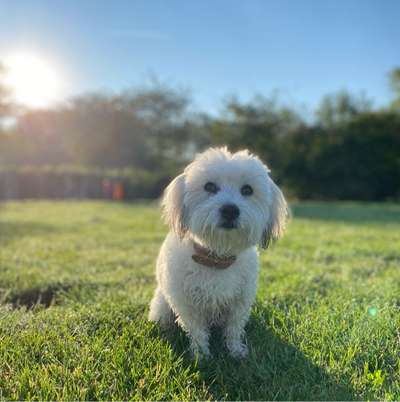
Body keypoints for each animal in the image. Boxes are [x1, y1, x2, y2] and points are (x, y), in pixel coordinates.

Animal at [148, 147, 290, 358]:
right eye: (209, 187)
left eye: (247, 190)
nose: (230, 210)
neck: (216, 257)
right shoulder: (187, 304)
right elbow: (197, 330)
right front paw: (201, 354)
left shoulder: (240, 301)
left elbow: (234, 328)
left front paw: (235, 350)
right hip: (162, 305)